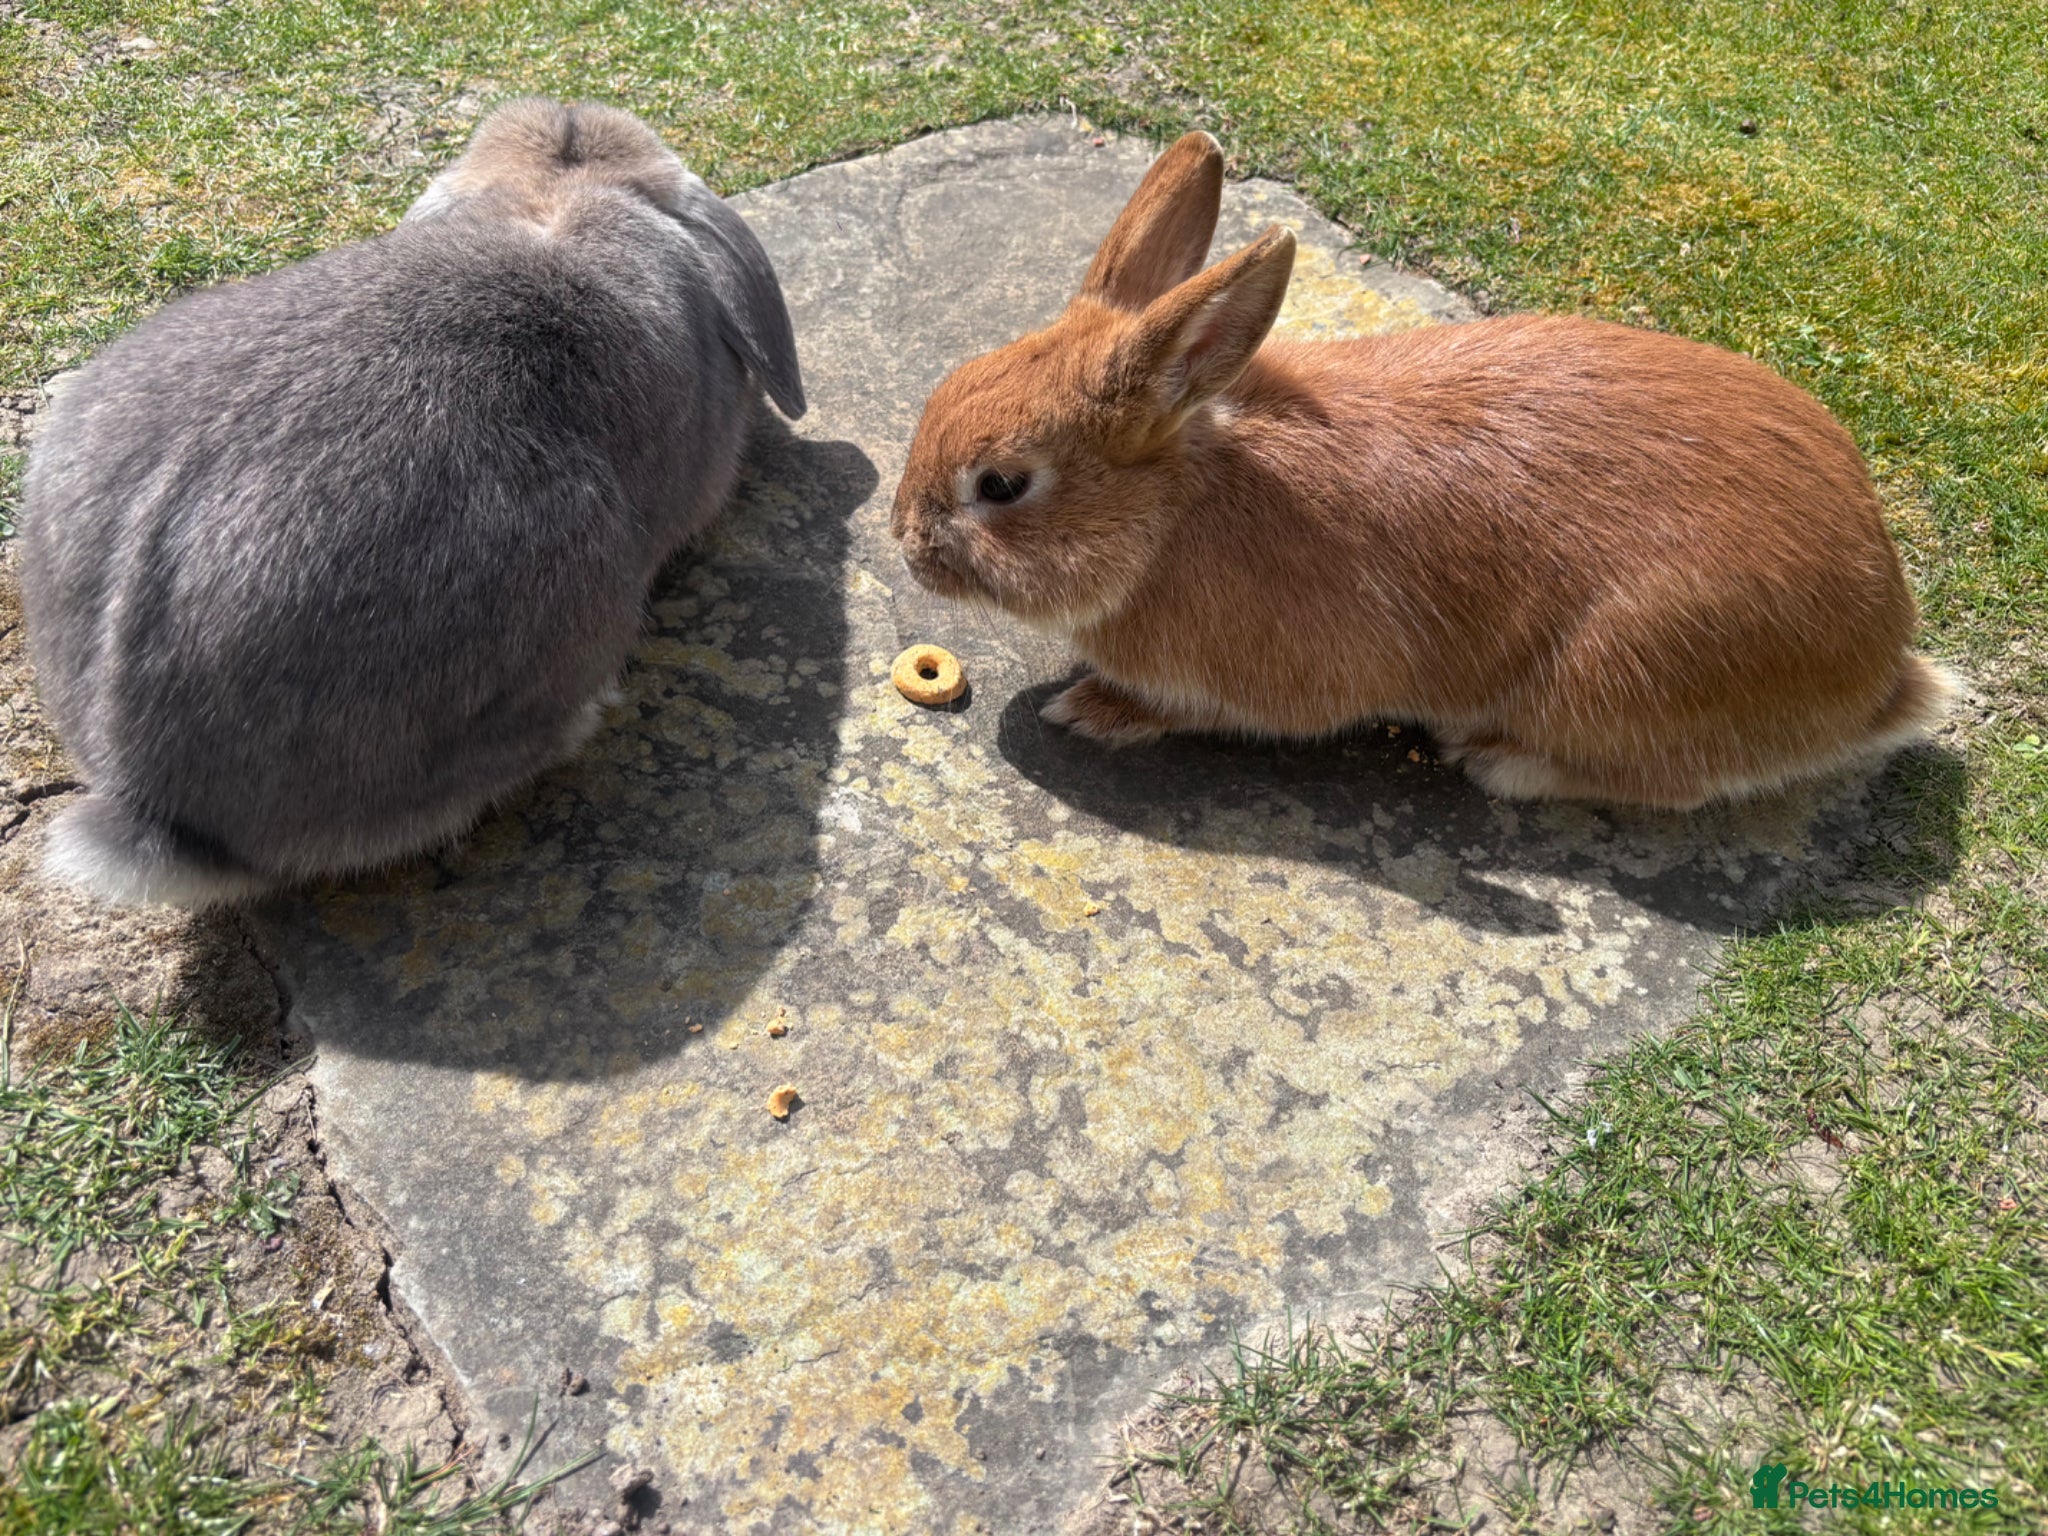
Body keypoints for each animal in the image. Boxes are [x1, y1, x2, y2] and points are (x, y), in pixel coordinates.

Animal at [890, 130, 1953, 810]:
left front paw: (1089, 710)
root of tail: (1881, 663)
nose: (903, 542)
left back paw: (1496, 763)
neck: (1173, 511)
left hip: (1622, 670)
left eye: (1001, 486)